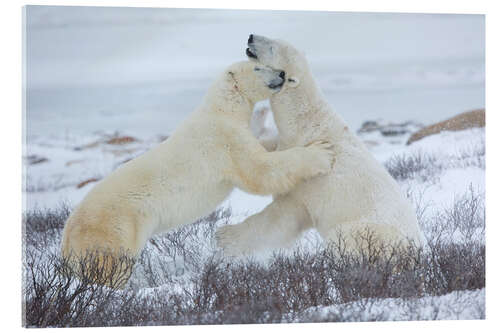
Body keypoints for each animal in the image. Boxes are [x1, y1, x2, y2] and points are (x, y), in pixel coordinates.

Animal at [63, 60, 336, 286]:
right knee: (109, 265)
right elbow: (259, 171)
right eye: (258, 67)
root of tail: (66, 239)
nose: (281, 73)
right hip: (114, 229)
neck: (222, 109)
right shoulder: (224, 140)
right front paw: (322, 152)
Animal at [215, 35, 426, 254]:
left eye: (273, 48)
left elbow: (281, 216)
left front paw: (225, 237)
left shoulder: (308, 184)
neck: (305, 124)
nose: (251, 36)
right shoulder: (285, 144)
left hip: (367, 233)